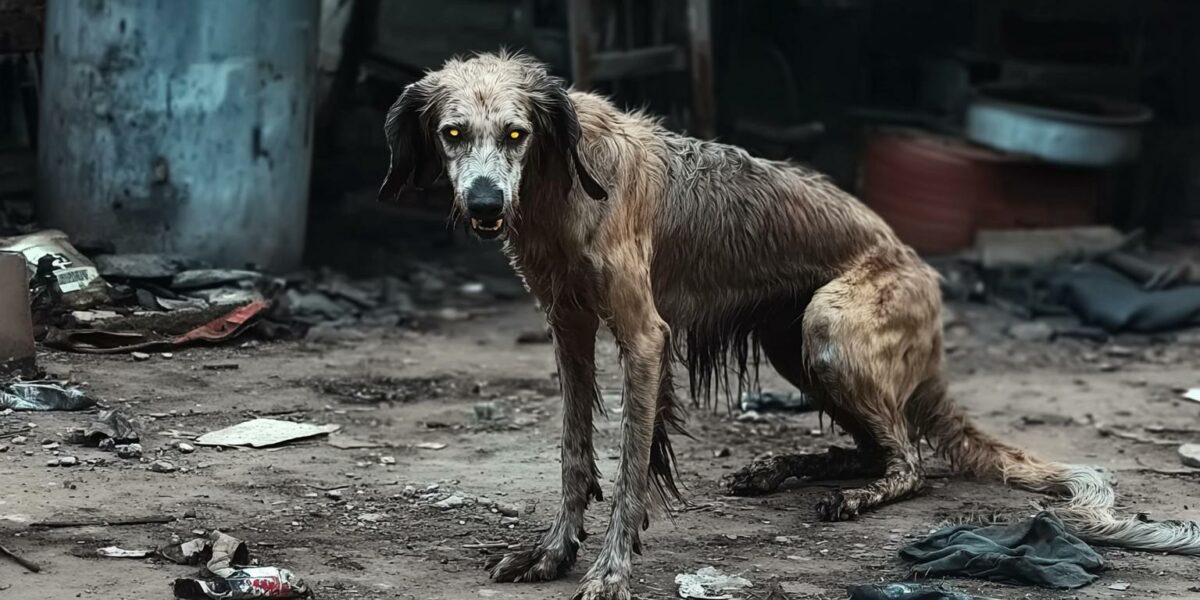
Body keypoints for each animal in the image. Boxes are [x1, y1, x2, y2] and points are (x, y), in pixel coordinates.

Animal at [376, 50, 1200, 595]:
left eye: (516, 134)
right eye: (453, 134)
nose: (484, 205)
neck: (560, 181)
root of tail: (925, 279)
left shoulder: (644, 337)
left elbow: (634, 466)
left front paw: (611, 570)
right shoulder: (569, 331)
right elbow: (577, 458)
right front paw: (551, 554)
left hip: (828, 330)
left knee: (910, 462)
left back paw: (850, 494)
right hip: (791, 344)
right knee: (874, 447)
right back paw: (783, 468)